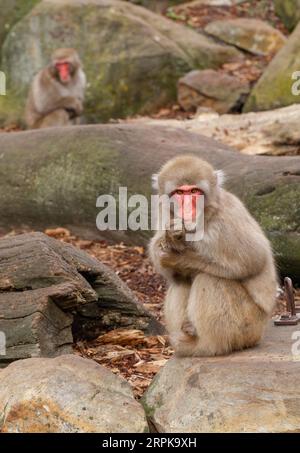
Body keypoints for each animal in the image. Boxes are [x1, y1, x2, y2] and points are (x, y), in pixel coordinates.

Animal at [149, 155, 278, 356]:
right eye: (179, 192)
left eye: (194, 191)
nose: (187, 209)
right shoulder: (165, 213)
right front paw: (168, 243)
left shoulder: (227, 217)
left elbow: (252, 259)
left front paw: (181, 257)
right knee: (181, 281)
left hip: (248, 325)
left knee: (209, 279)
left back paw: (207, 345)